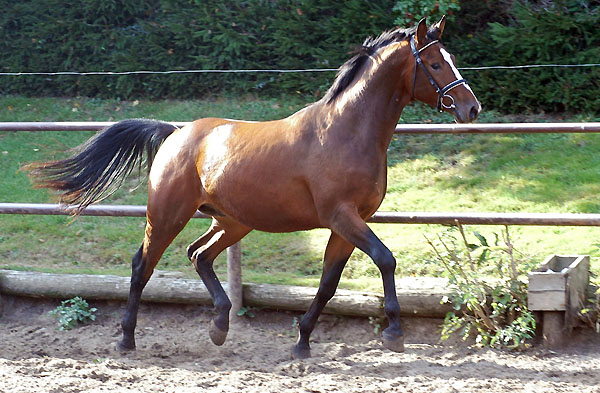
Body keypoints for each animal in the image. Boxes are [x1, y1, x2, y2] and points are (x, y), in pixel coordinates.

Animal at [25, 16, 480, 356]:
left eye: (451, 59)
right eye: (435, 64)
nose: (471, 108)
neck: (347, 132)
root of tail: (175, 133)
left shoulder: (348, 223)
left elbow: (329, 283)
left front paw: (301, 342)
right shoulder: (342, 216)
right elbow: (386, 259)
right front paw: (394, 333)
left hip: (233, 222)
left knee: (198, 255)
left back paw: (220, 326)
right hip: (167, 214)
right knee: (143, 265)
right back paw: (126, 338)